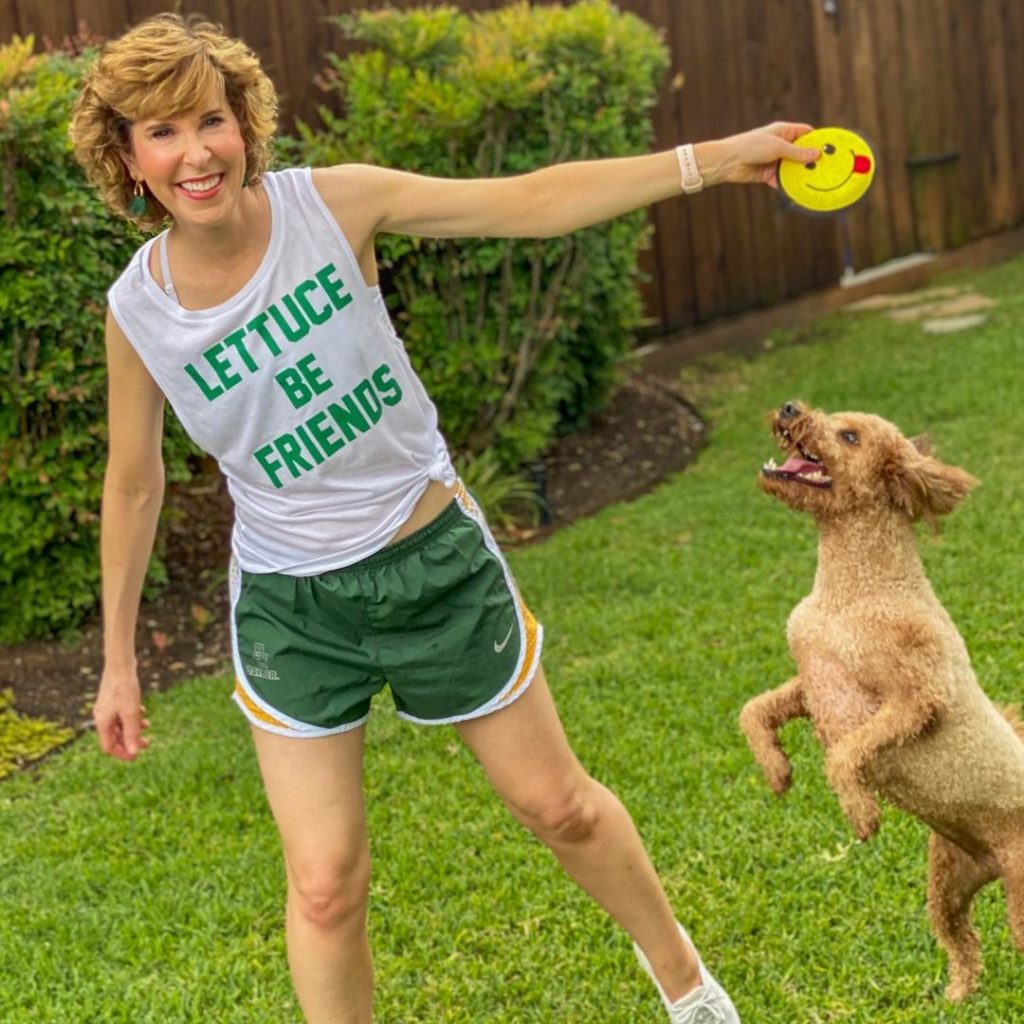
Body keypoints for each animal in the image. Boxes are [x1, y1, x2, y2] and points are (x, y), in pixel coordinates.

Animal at [741, 399, 1019, 999]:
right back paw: (956, 997)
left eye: (850, 436)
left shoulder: (918, 698)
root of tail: (990, 861)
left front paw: (862, 814)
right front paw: (776, 770)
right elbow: (753, 711)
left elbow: (845, 754)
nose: (791, 407)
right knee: (965, 944)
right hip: (948, 883)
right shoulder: (813, 683)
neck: (855, 586)